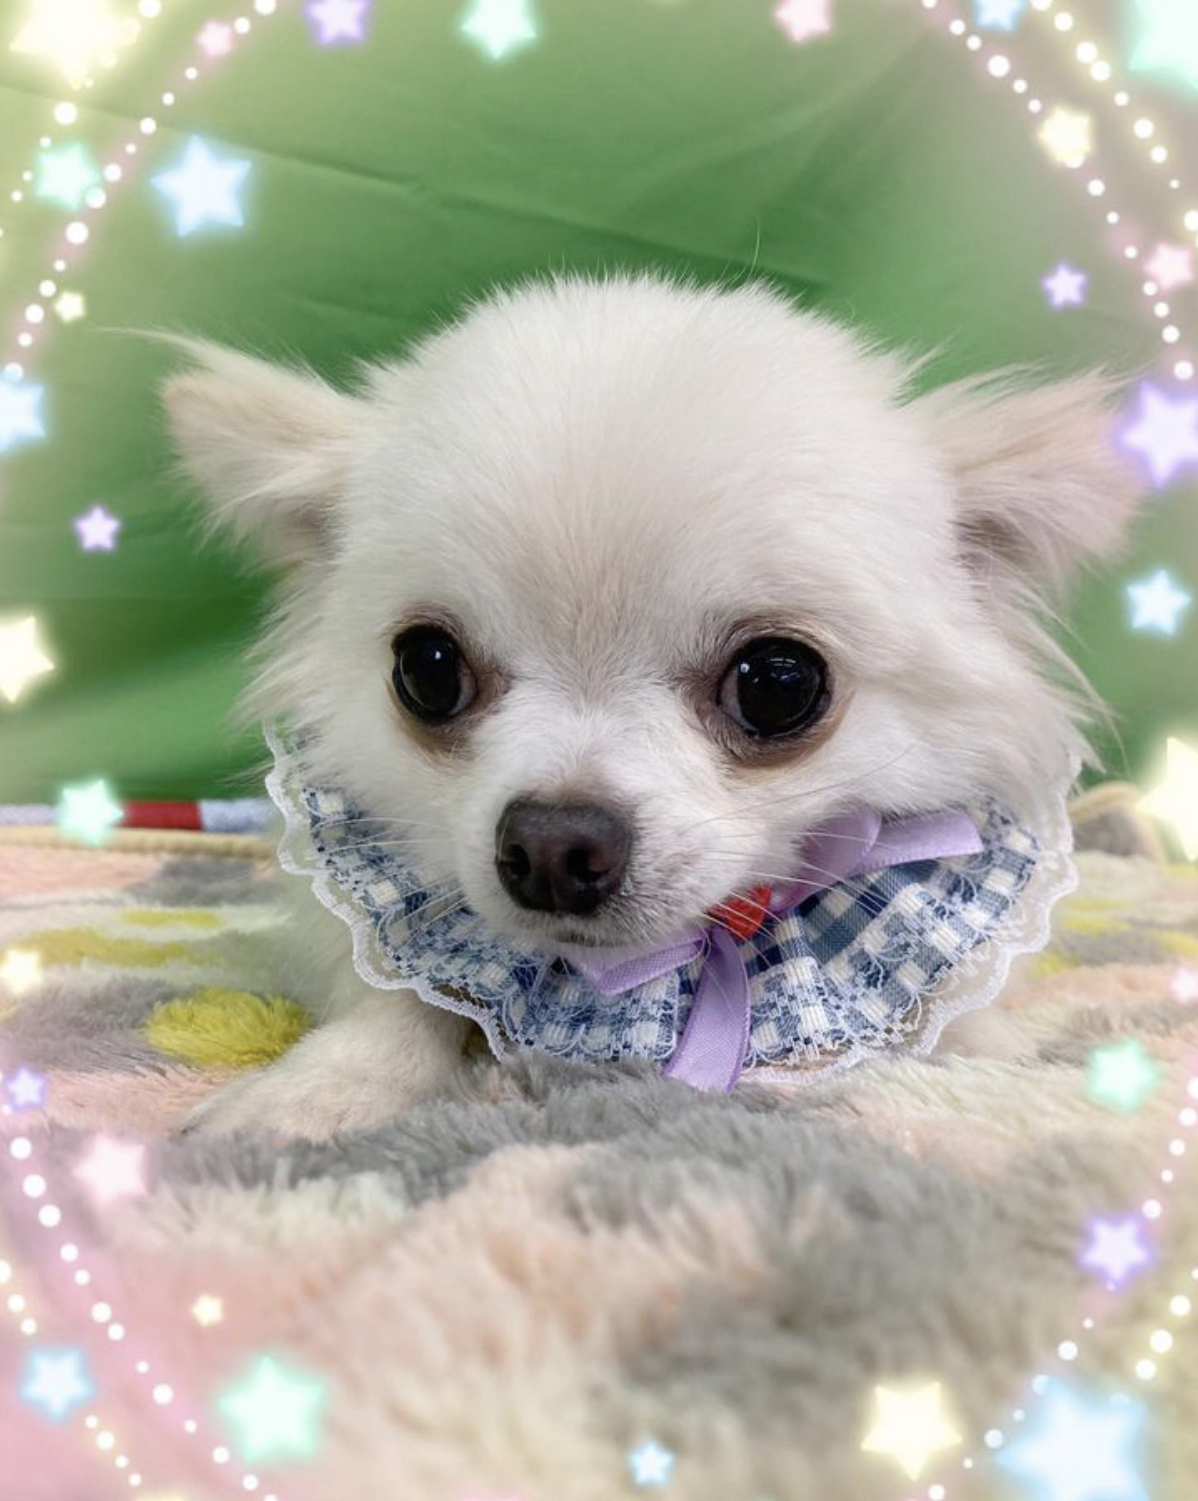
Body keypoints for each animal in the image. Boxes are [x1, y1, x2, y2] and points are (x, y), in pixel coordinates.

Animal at [161, 270, 1143, 1136]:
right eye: (428, 671)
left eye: (778, 684)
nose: (553, 845)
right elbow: (398, 1003)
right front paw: (319, 1087)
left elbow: (959, 1013)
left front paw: (1013, 1064)